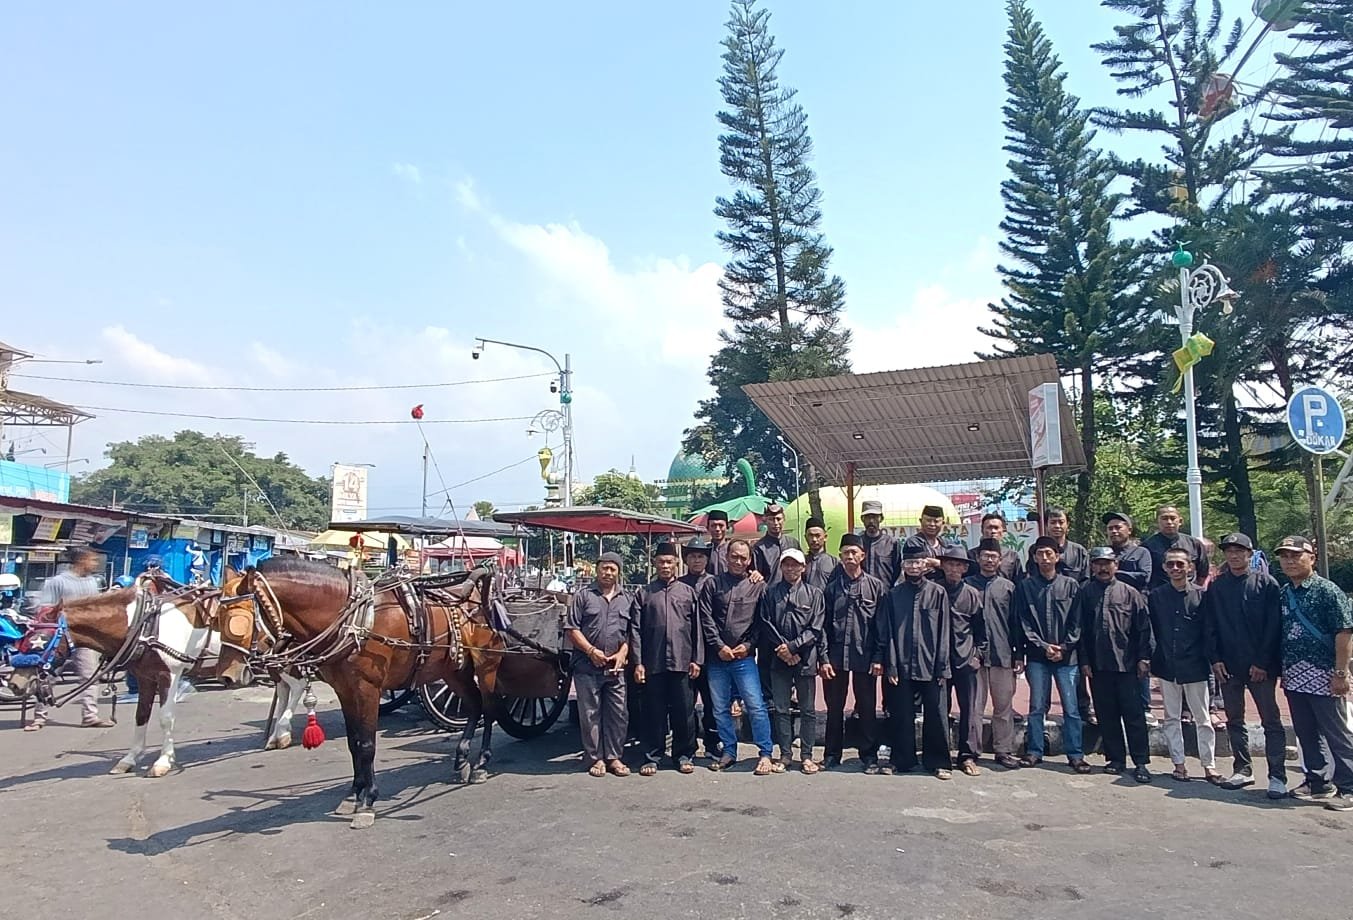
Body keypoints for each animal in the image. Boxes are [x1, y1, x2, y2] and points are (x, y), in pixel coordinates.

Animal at [216, 557, 511, 828]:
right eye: (217, 617)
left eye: (242, 618)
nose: (228, 675)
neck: (353, 620)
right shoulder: (345, 690)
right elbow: (353, 743)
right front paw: (352, 794)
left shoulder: (368, 688)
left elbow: (368, 744)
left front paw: (368, 801)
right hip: (453, 670)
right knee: (474, 705)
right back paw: (461, 758)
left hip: (486, 664)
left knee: (489, 708)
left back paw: (481, 763)